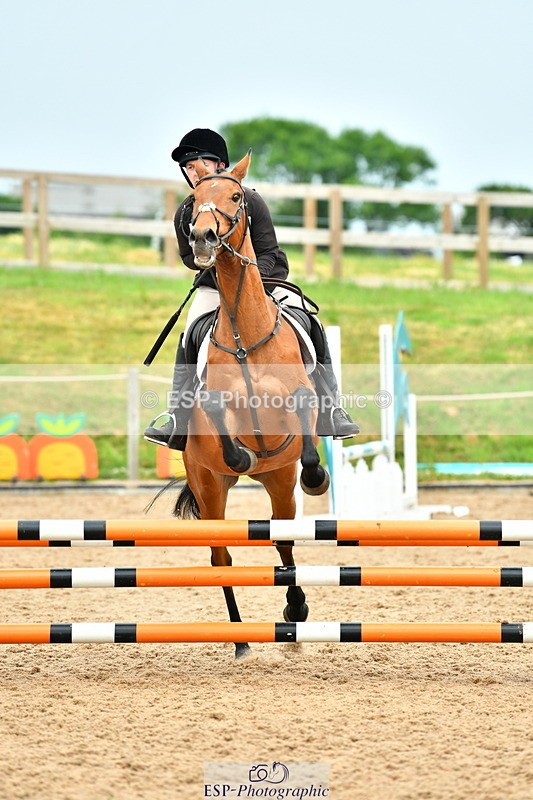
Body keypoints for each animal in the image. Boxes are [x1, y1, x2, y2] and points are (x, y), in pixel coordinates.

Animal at [175, 151, 330, 658]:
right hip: (208, 487)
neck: (247, 339)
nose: (203, 237)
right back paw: (241, 639)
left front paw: (318, 477)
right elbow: (220, 417)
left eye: (236, 196)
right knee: (221, 557)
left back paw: (295, 613)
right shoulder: (214, 404)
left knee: (283, 542)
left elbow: (307, 432)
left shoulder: (302, 398)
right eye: (195, 201)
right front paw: (242, 453)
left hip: (279, 484)